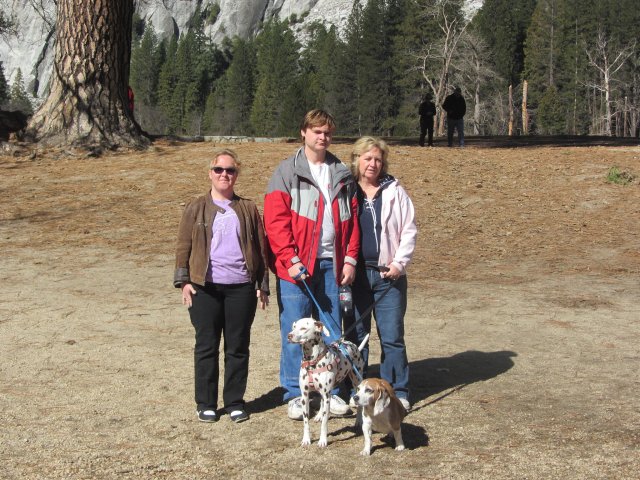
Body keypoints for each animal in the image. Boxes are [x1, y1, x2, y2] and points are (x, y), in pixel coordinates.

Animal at [288, 318, 368, 446]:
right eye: (294, 327)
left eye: (303, 328)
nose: (289, 335)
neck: (312, 362)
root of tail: (353, 345)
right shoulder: (305, 396)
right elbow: (306, 422)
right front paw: (306, 439)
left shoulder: (327, 396)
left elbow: (324, 423)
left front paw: (322, 440)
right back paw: (319, 415)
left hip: (356, 381)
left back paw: (359, 421)